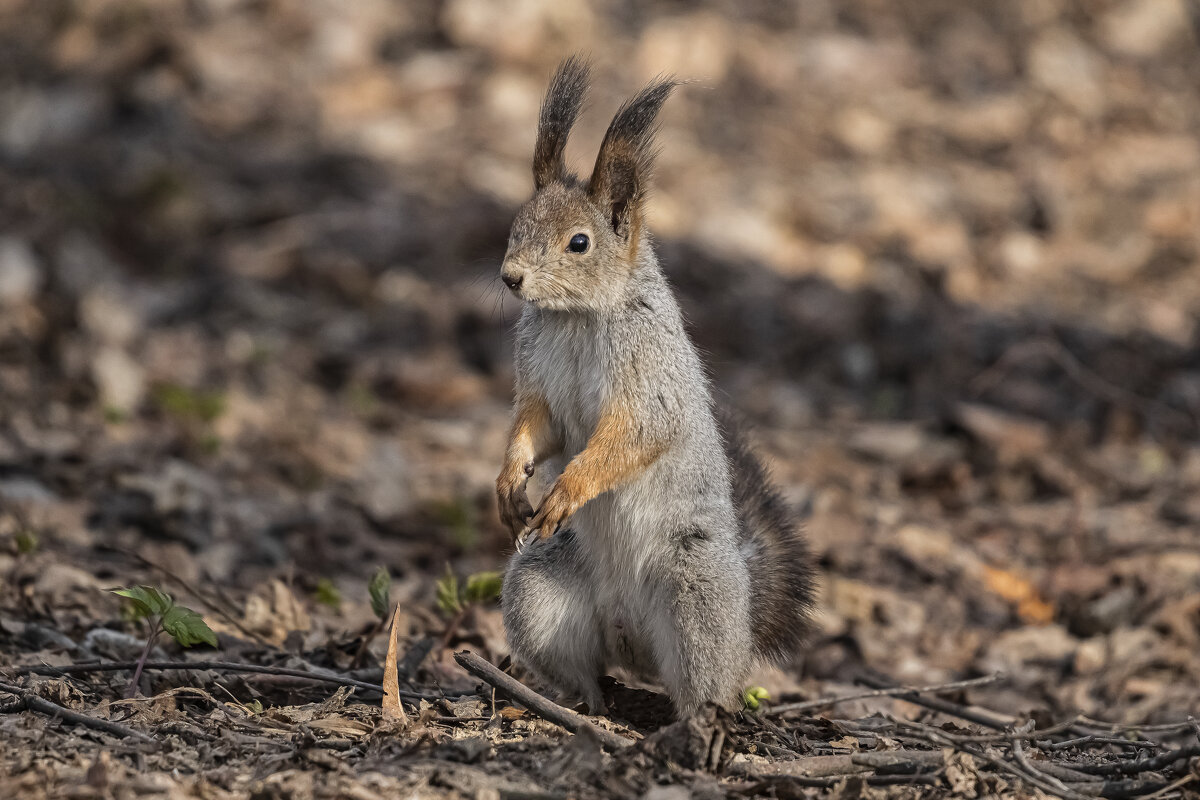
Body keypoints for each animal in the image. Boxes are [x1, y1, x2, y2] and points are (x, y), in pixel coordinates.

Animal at [494, 57, 816, 719]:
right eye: (517, 223)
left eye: (580, 243)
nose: (510, 278)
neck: (578, 316)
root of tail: (635, 644)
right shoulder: (537, 378)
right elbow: (535, 425)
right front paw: (510, 481)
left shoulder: (650, 379)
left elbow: (633, 434)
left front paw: (568, 488)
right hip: (540, 587)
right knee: (580, 664)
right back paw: (583, 701)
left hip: (695, 595)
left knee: (707, 680)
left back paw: (695, 721)